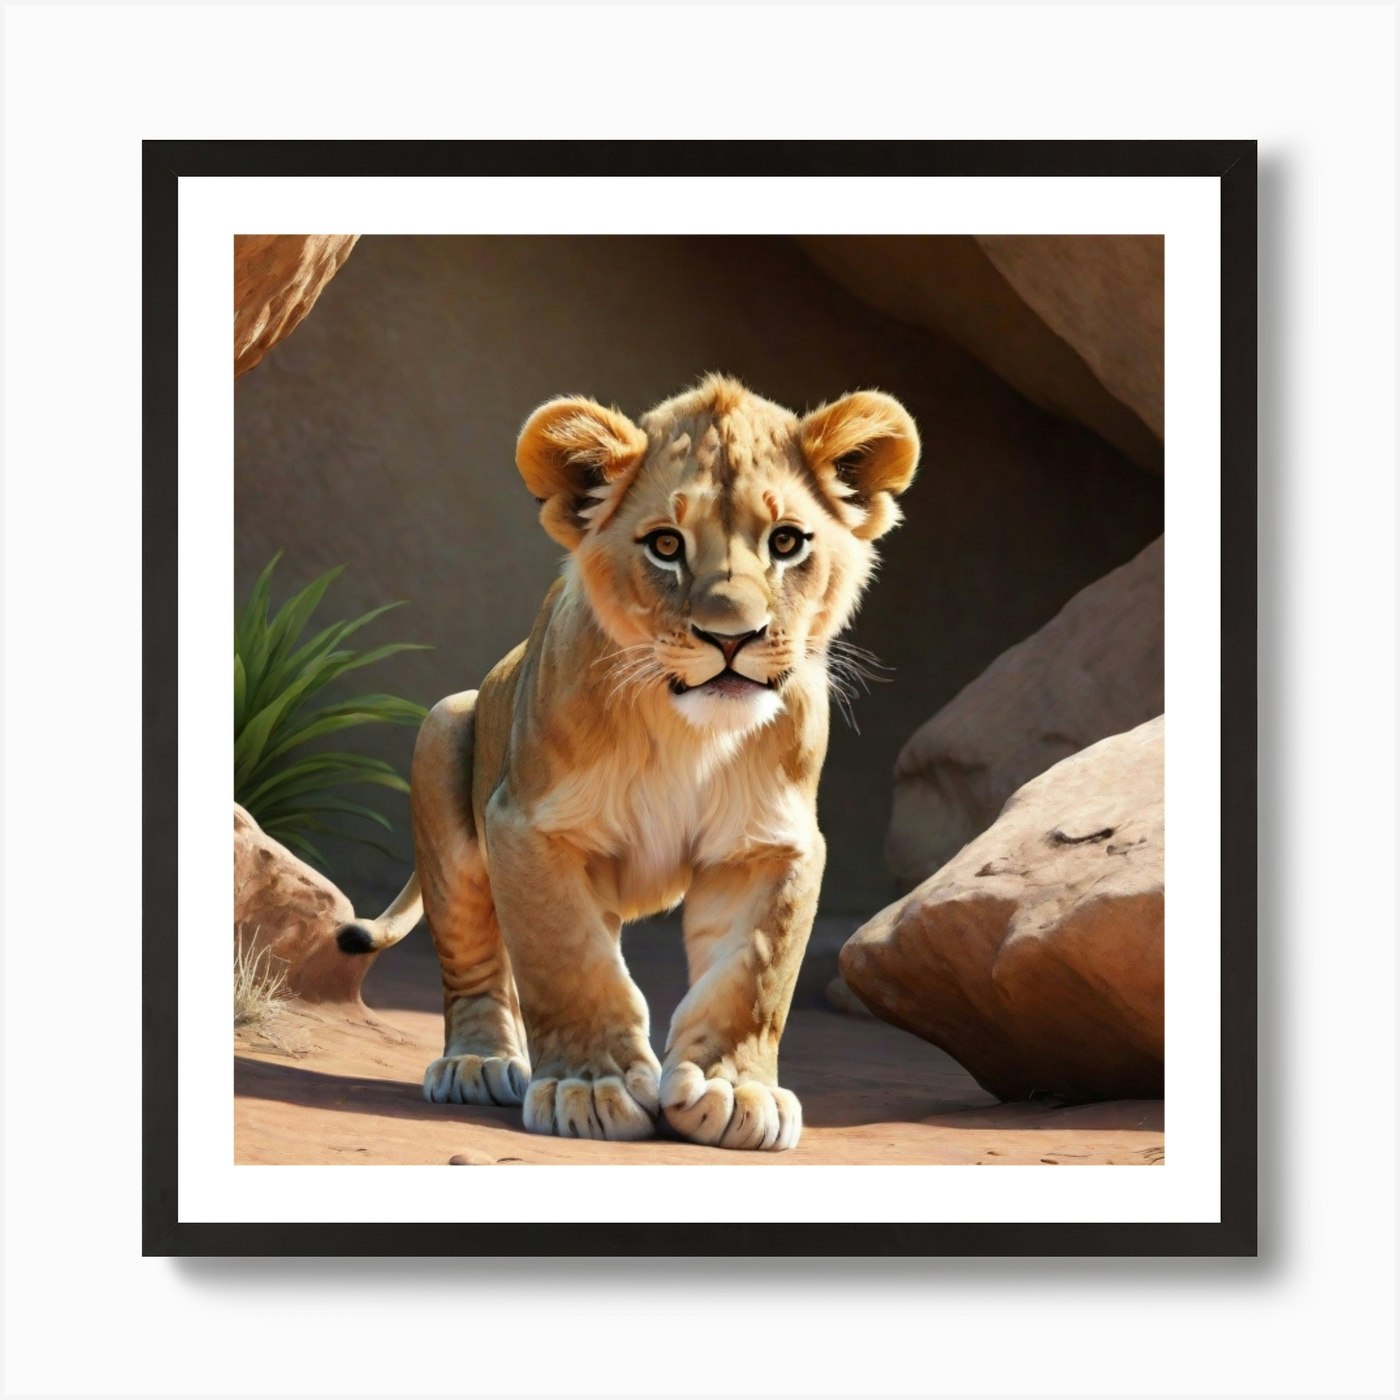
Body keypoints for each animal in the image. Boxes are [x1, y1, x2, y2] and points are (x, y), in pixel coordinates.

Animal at [337, 375, 919, 1150]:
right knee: (474, 957)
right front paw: (589, 1088)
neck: (689, 733)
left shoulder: (770, 845)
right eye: (666, 545)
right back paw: (476, 1064)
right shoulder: (529, 827)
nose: (732, 637)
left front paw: (732, 1091)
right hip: (443, 732)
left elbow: (753, 976)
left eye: (787, 542)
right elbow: (570, 962)